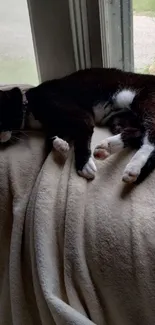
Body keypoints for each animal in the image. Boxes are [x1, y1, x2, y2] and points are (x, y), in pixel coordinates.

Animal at [0, 67, 155, 182]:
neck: (29, 105)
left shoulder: (82, 117)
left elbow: (81, 139)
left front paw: (84, 165)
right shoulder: (56, 126)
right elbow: (49, 138)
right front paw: (61, 144)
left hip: (144, 103)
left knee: (150, 137)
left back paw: (133, 168)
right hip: (118, 121)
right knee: (138, 132)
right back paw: (106, 148)